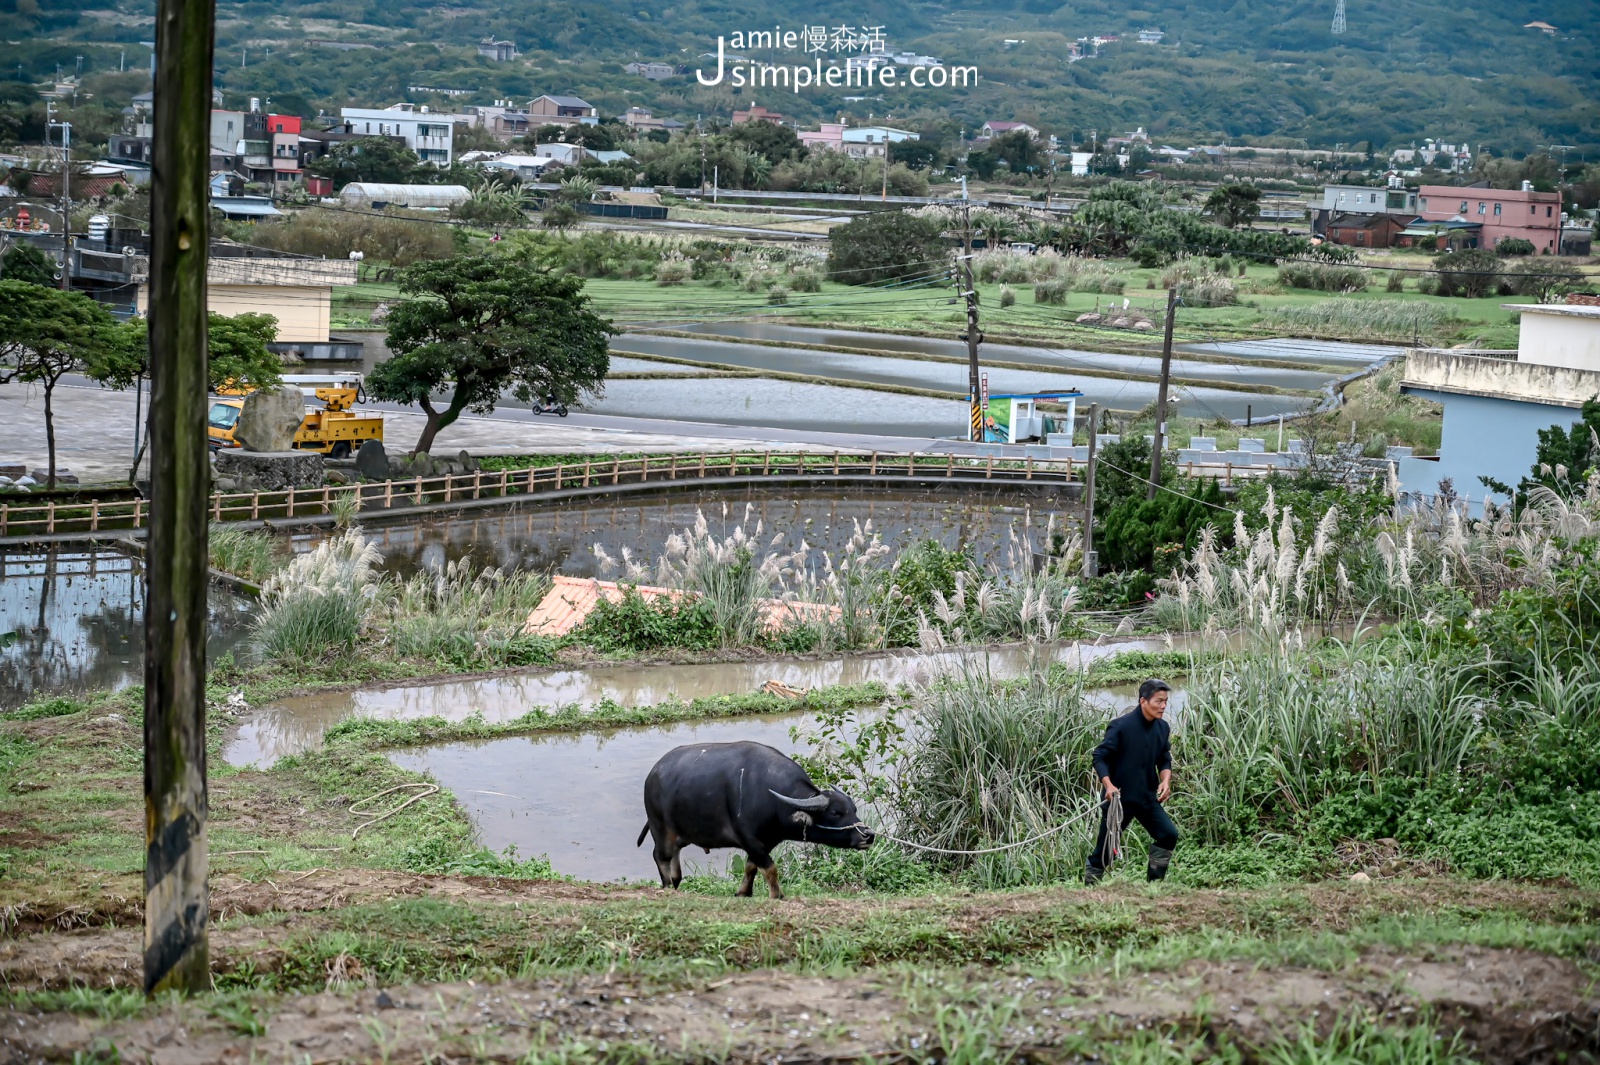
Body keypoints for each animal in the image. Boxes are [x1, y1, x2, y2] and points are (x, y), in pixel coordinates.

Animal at [636, 738, 876, 895]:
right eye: (835, 813)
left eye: (853, 809)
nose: (868, 835)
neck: (773, 801)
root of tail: (653, 774)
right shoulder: (749, 839)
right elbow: (770, 869)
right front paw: (777, 896)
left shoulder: (765, 842)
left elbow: (751, 867)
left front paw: (743, 892)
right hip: (660, 829)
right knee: (661, 857)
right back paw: (667, 887)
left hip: (679, 835)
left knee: (675, 865)